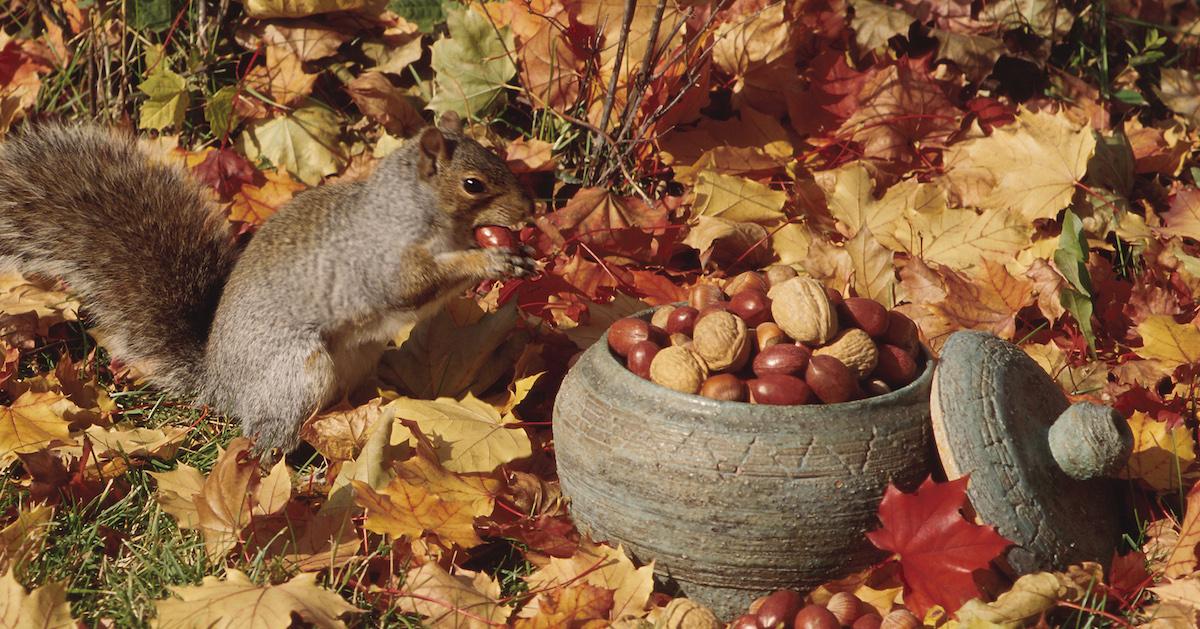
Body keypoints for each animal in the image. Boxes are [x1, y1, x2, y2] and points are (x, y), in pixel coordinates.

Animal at [0, 112, 535, 453]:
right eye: (472, 184)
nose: (530, 211)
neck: (416, 212)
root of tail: (220, 385)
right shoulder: (381, 263)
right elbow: (417, 285)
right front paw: (488, 261)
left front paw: (517, 255)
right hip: (297, 371)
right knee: (268, 432)